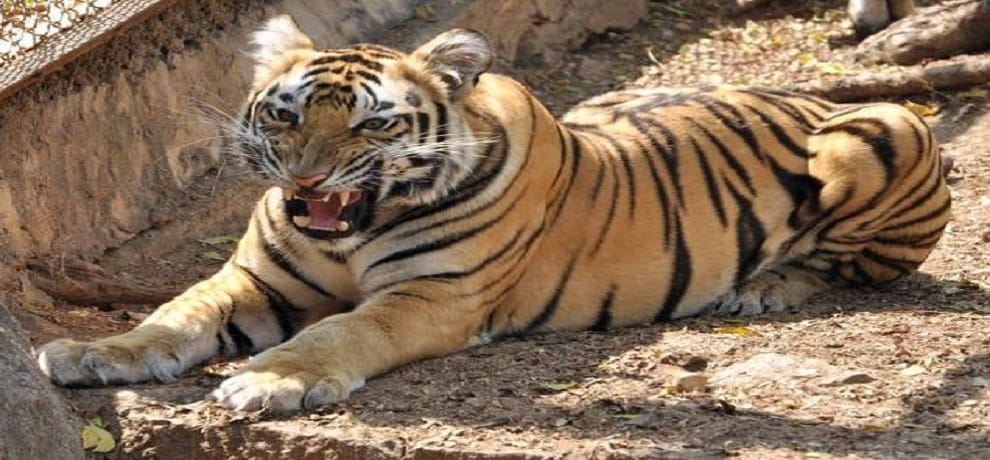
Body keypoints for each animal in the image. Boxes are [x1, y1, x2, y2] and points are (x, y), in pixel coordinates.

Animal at [38, 15, 950, 412]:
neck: (353, 232)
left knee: (857, 263)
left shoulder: (433, 295)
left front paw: (270, 379)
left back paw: (764, 288)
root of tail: (806, 93)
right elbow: (174, 314)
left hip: (877, 134)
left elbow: (340, 331)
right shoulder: (254, 280)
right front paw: (90, 354)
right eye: (285, 115)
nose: (306, 179)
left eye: (372, 123)